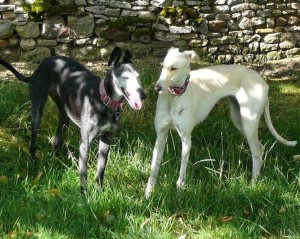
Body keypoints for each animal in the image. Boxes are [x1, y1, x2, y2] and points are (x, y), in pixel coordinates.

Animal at [0, 47, 147, 194]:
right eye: (125, 77)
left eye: (138, 76)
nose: (143, 95)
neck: (104, 100)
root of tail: (43, 63)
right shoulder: (84, 143)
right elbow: (84, 173)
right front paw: (85, 194)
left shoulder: (107, 138)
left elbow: (101, 170)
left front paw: (99, 191)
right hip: (37, 111)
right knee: (33, 141)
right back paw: (31, 162)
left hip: (65, 117)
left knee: (57, 139)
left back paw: (57, 161)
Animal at [145, 47, 298, 198]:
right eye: (162, 66)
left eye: (173, 68)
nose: (156, 88)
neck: (174, 97)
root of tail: (262, 81)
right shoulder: (160, 137)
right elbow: (154, 168)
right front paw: (148, 193)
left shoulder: (186, 139)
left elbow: (182, 170)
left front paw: (179, 192)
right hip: (239, 120)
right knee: (260, 148)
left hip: (249, 122)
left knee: (256, 152)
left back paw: (254, 184)